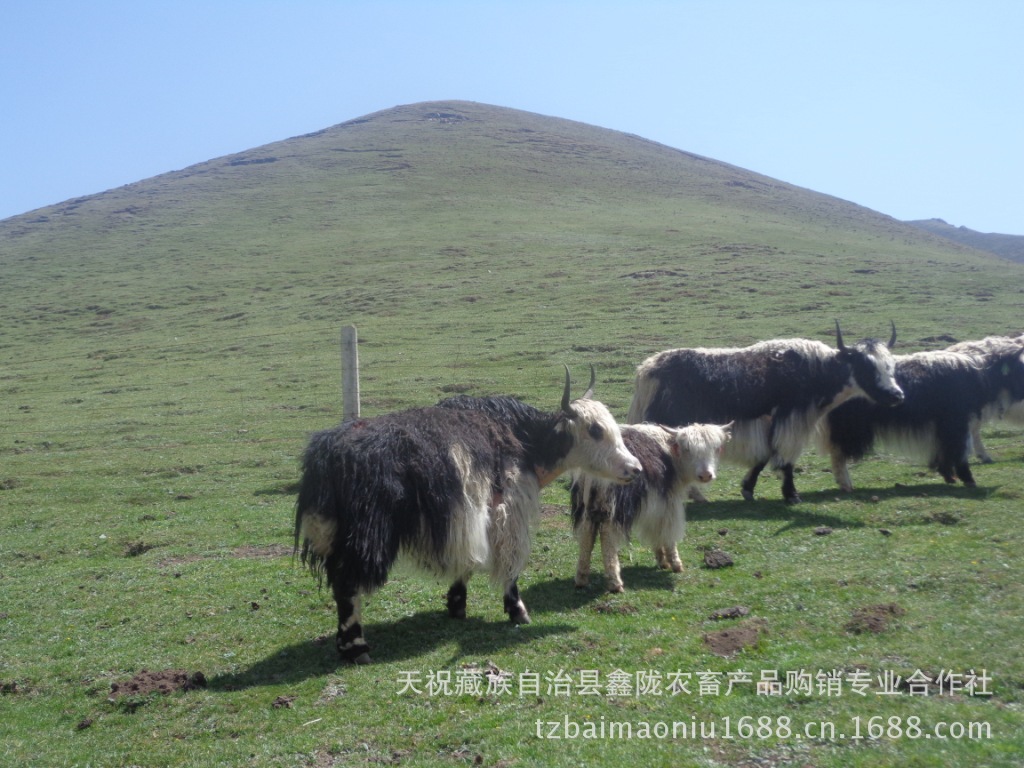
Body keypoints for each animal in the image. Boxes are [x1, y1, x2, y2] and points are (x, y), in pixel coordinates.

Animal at [573, 421, 733, 593]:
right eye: (687, 449)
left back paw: (581, 578)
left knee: (587, 535)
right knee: (607, 537)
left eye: (716, 448)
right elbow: (668, 534)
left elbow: (655, 531)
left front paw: (662, 560)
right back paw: (615, 582)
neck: (669, 452)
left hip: (588, 508)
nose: (705, 475)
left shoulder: (654, 506)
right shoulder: (669, 503)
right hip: (612, 510)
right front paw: (675, 564)